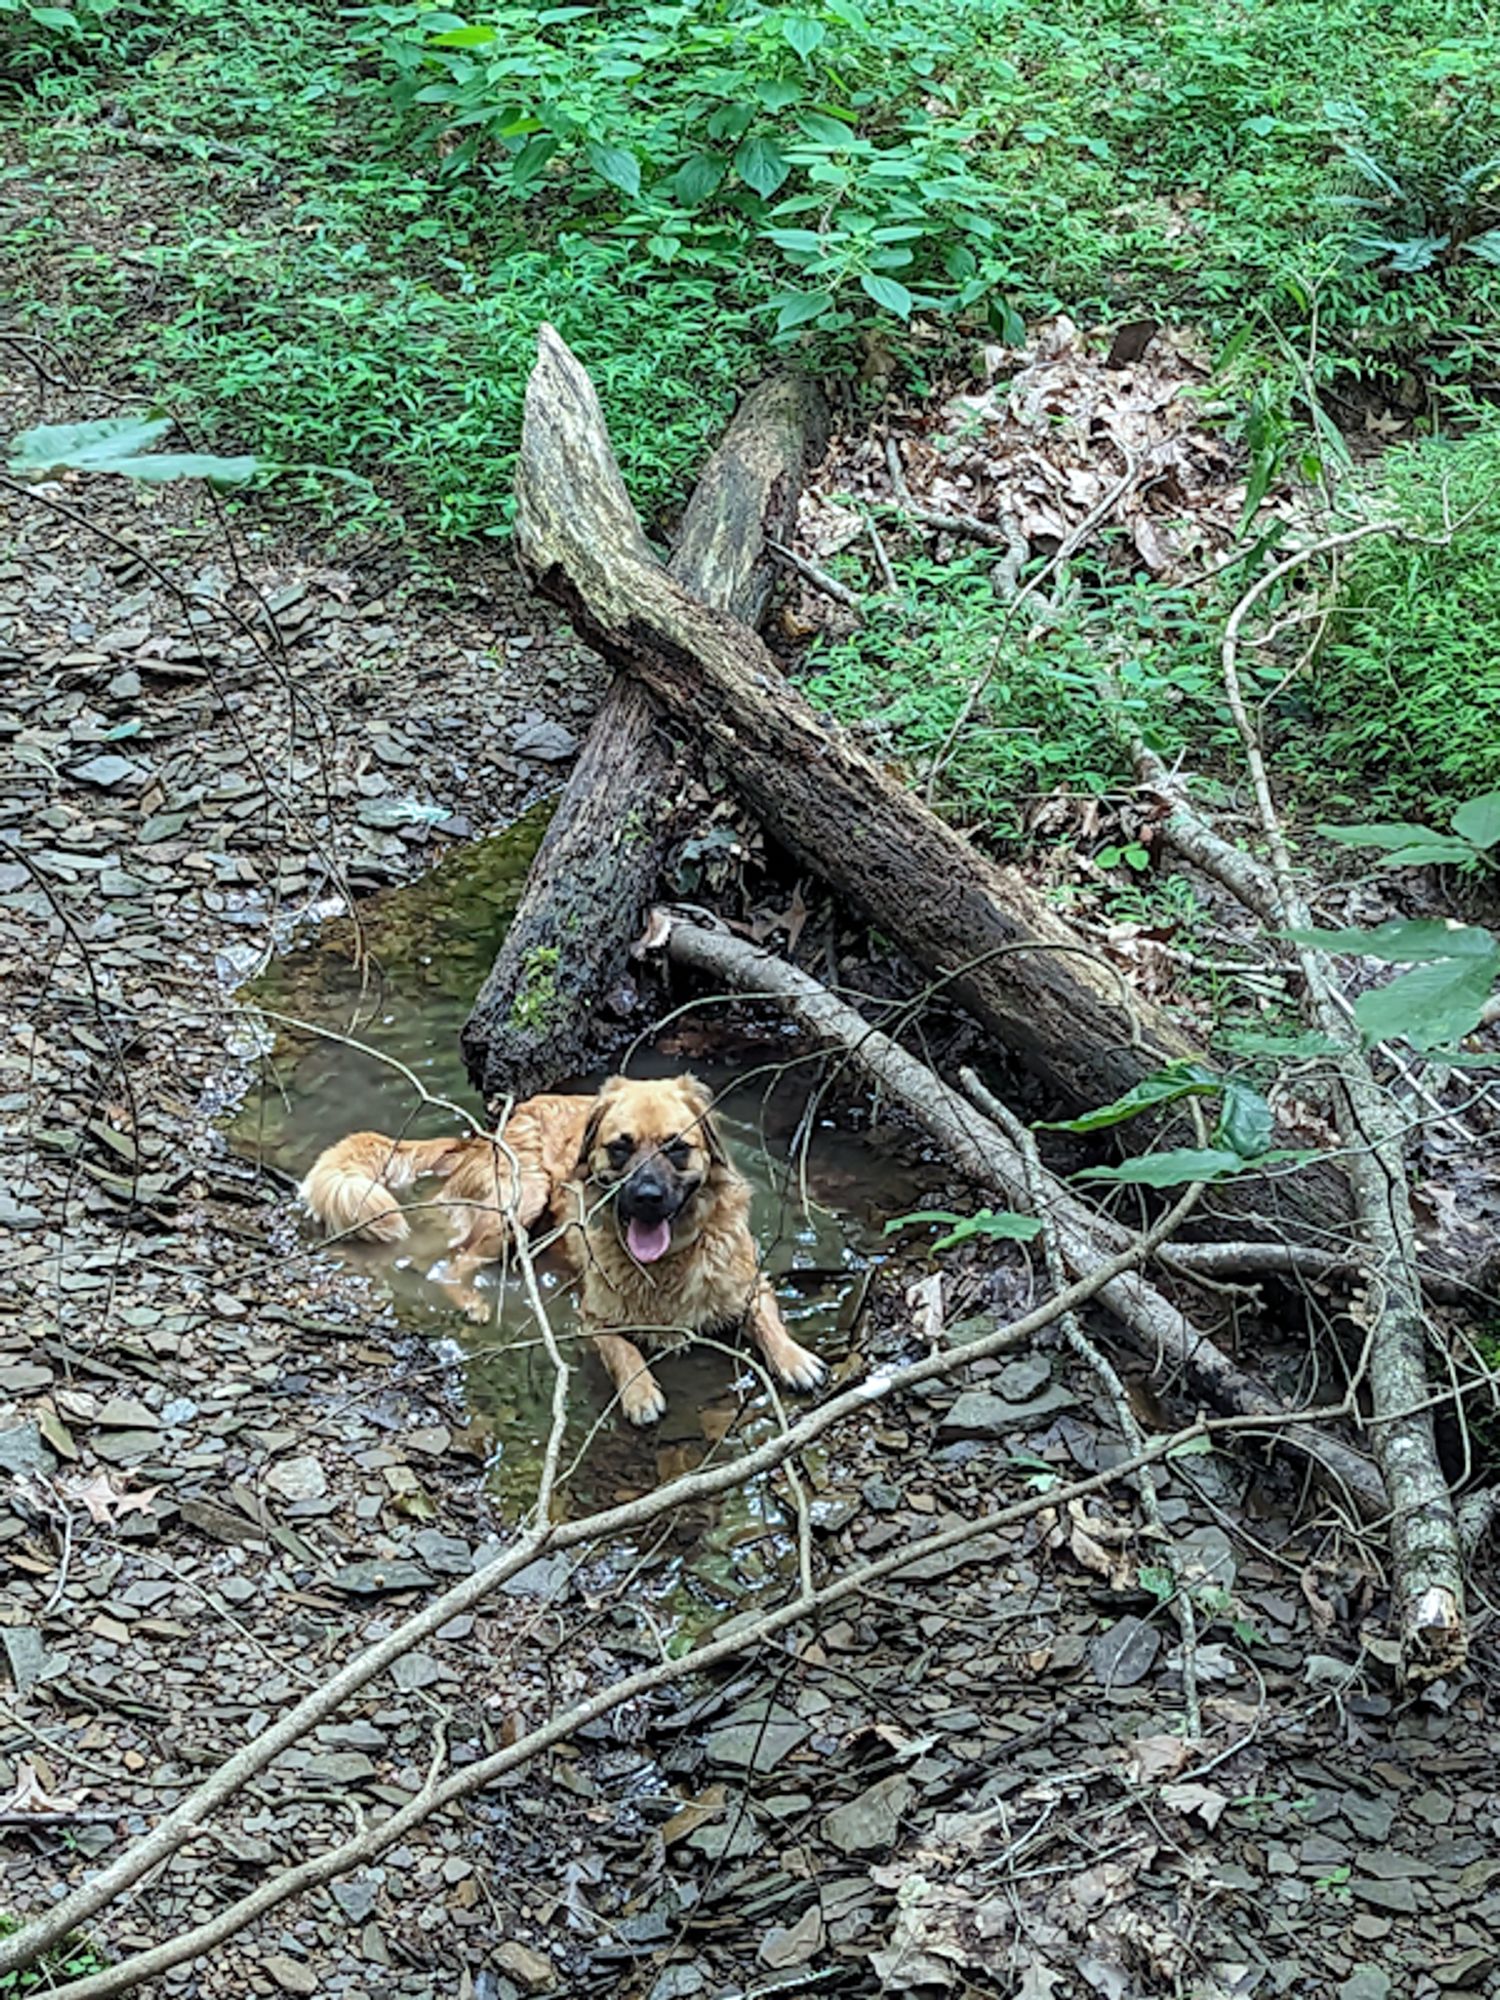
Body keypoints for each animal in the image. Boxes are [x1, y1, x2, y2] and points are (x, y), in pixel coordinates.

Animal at [298, 1080, 828, 1424]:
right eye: (620, 1147)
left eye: (677, 1147)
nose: (648, 1197)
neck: (667, 1262)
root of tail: (487, 1134)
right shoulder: (592, 1316)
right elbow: (623, 1349)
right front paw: (639, 1391)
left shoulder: (751, 1283)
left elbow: (766, 1318)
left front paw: (793, 1356)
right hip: (522, 1199)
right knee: (454, 1262)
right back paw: (473, 1302)